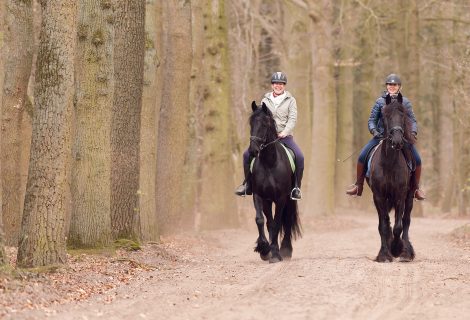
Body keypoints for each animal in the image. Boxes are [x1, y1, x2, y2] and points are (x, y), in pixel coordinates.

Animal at [248, 100, 302, 262]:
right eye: (251, 123)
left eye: (265, 124)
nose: (253, 150)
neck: (270, 163)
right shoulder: (260, 196)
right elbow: (262, 221)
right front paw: (265, 249)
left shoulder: (281, 198)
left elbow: (278, 222)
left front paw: (276, 254)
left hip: (290, 199)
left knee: (288, 219)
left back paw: (286, 250)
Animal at [370, 92, 416, 262]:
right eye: (386, 116)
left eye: (403, 115)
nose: (397, 141)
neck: (389, 162)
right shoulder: (379, 196)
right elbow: (384, 226)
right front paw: (384, 254)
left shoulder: (400, 195)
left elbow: (398, 226)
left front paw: (396, 249)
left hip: (410, 195)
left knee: (406, 221)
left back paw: (406, 253)